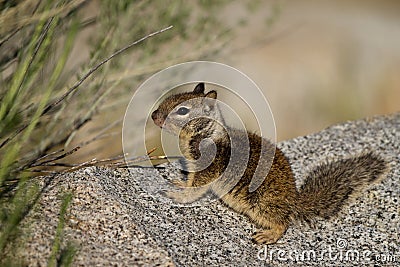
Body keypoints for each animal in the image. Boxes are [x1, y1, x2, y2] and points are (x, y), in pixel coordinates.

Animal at [150, 83, 388, 245]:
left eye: (182, 110)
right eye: (171, 96)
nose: (153, 116)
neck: (206, 135)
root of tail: (294, 201)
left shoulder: (209, 169)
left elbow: (195, 190)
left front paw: (178, 196)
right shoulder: (194, 167)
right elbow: (190, 180)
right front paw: (179, 184)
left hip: (262, 203)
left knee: (283, 223)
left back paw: (268, 235)